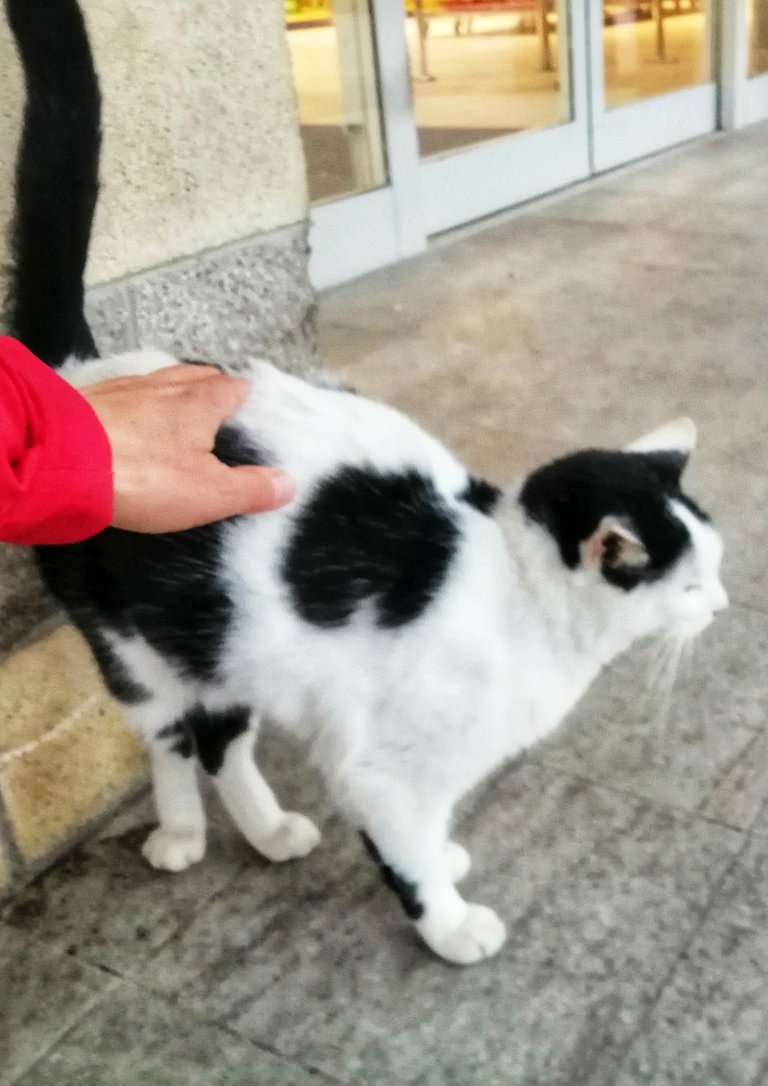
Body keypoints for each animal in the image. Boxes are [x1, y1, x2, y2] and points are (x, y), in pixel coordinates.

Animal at [6, 2, 725, 968]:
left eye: (716, 567)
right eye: (689, 584)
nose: (722, 605)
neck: (515, 589)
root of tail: (88, 379)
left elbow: (433, 824)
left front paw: (447, 856)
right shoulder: (383, 766)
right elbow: (404, 846)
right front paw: (449, 921)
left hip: (227, 640)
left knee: (221, 741)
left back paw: (268, 829)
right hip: (139, 646)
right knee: (171, 738)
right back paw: (184, 834)